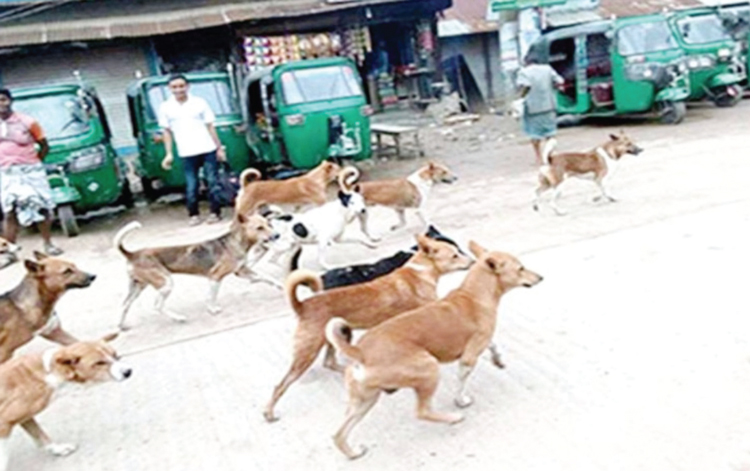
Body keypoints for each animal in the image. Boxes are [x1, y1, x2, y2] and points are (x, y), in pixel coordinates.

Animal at [0, 334, 132, 470]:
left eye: (115, 355)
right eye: (99, 363)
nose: (128, 372)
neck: (48, 373)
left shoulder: (23, 418)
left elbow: (41, 436)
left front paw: (58, 449)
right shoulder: (4, 423)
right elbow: (3, 459)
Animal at [116, 212, 280, 330]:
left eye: (269, 224)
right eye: (259, 228)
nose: (276, 235)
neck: (235, 242)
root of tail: (132, 254)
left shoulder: (242, 271)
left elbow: (266, 277)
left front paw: (280, 286)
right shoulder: (215, 276)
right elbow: (211, 296)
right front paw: (212, 309)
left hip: (138, 286)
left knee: (125, 304)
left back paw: (121, 326)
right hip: (166, 283)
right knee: (157, 305)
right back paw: (179, 318)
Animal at [266, 234, 476, 422]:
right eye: (455, 255)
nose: (473, 261)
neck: (420, 270)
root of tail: (303, 305)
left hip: (334, 336)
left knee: (330, 362)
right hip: (307, 352)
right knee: (280, 385)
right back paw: (269, 413)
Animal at [326, 242, 544, 460]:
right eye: (521, 268)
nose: (541, 277)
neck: (474, 295)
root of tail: (359, 352)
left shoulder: (481, 342)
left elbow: (493, 345)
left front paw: (498, 359)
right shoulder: (468, 358)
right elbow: (461, 384)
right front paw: (461, 401)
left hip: (364, 401)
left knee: (338, 434)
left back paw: (352, 453)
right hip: (429, 368)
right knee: (422, 412)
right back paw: (453, 417)